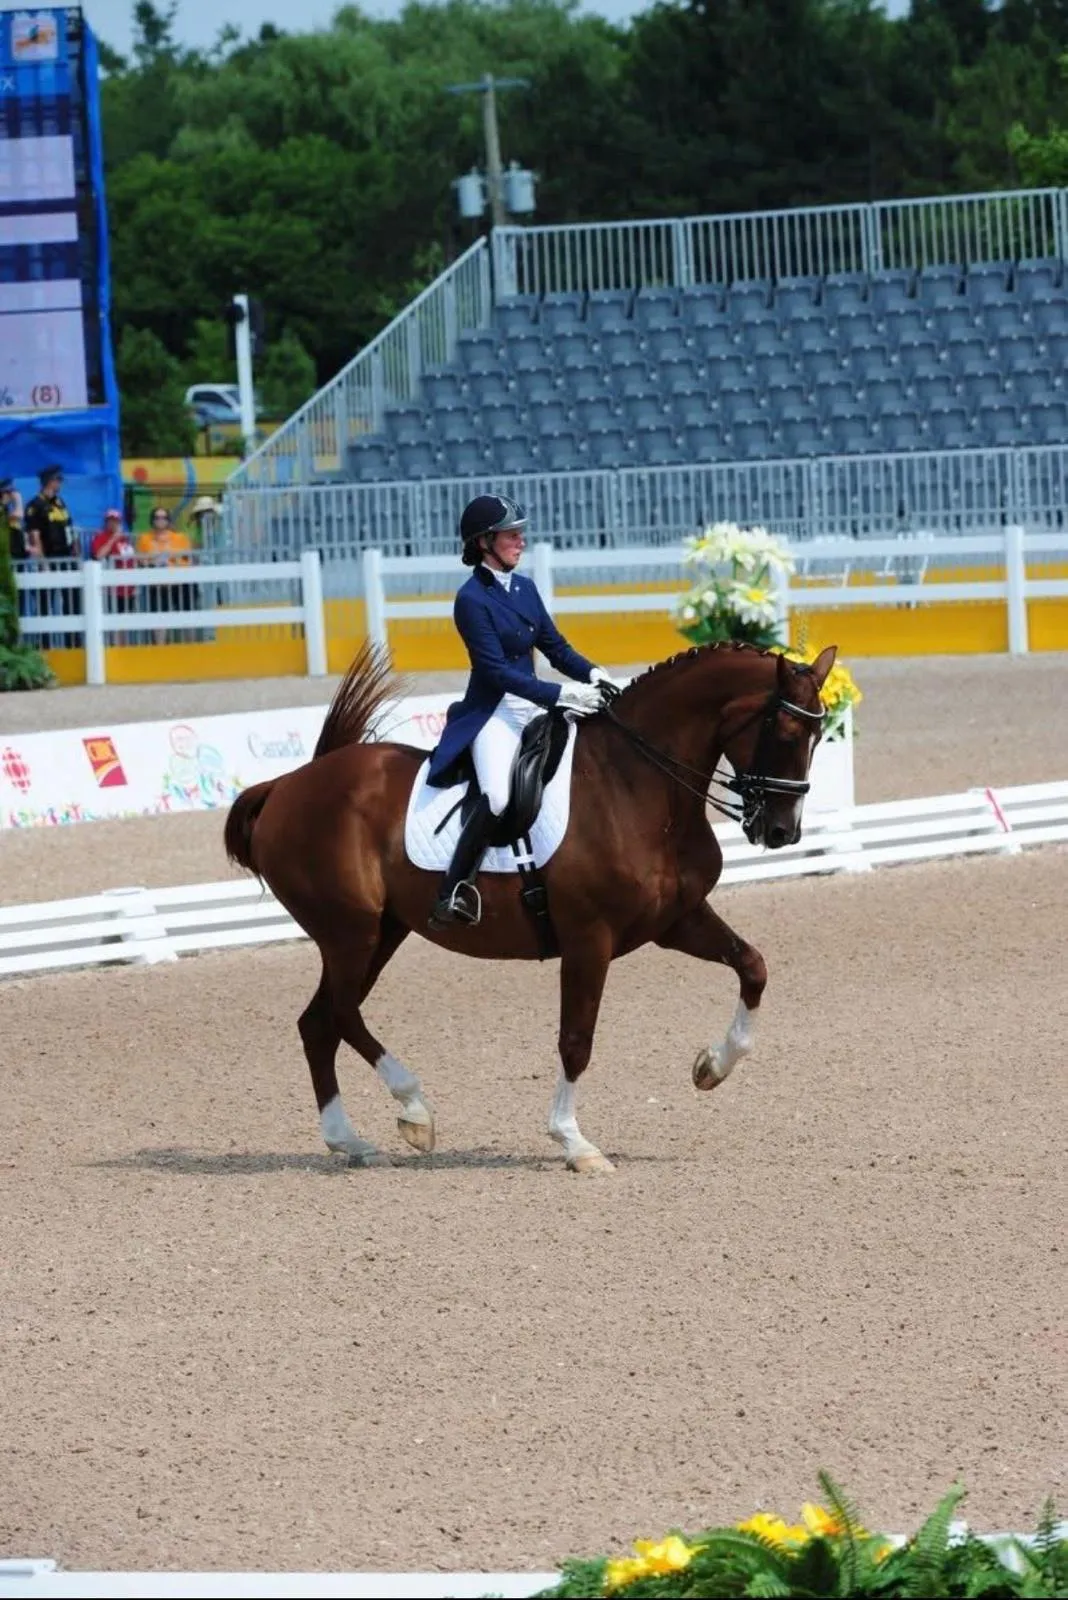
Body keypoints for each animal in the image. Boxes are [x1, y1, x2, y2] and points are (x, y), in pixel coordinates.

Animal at [224, 638, 837, 1174]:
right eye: (786, 730)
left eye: (821, 733)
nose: (781, 831)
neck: (636, 785)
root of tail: (285, 785)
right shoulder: (590, 939)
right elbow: (576, 1041)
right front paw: (575, 1143)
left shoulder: (676, 921)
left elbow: (753, 966)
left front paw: (712, 1066)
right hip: (350, 932)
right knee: (341, 1013)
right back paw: (414, 1110)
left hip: (383, 931)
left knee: (320, 1022)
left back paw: (350, 1141)